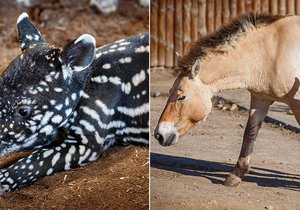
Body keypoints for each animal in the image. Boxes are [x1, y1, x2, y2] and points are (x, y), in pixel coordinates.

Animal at [154, 13, 300, 186]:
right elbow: (250, 133)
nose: (159, 134)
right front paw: (236, 174)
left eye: (182, 96)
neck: (272, 51)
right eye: (170, 92)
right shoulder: (260, 100)